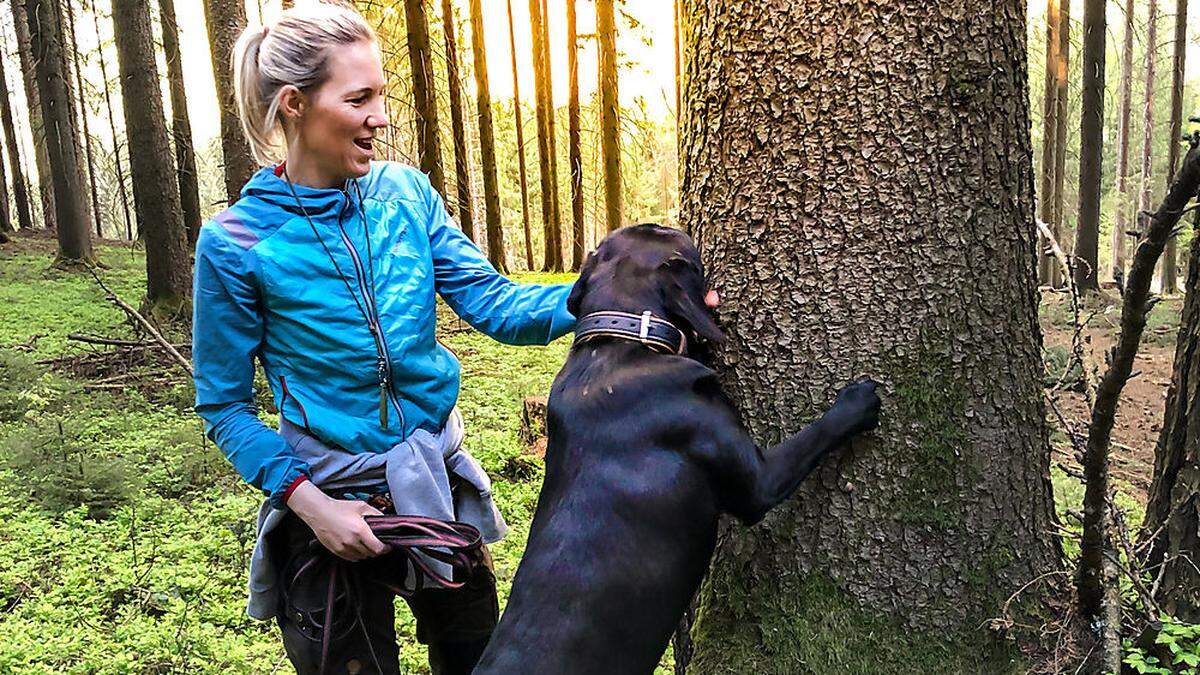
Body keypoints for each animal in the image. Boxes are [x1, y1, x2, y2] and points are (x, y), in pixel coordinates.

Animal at [470, 223, 883, 667]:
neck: (621, 341)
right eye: (666, 235)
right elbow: (816, 435)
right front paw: (857, 404)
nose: (667, 222)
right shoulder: (759, 482)